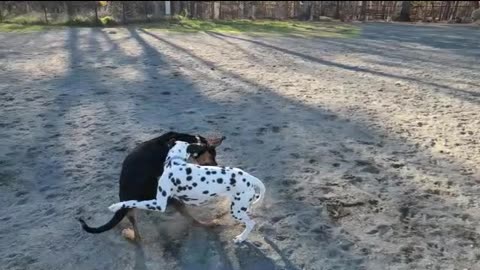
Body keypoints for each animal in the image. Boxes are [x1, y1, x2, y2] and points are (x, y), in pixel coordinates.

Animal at [108, 140, 266, 244]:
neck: (175, 162)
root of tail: (251, 178)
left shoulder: (159, 204)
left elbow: (133, 201)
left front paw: (116, 206)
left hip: (236, 210)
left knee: (251, 223)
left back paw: (241, 238)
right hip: (240, 206)